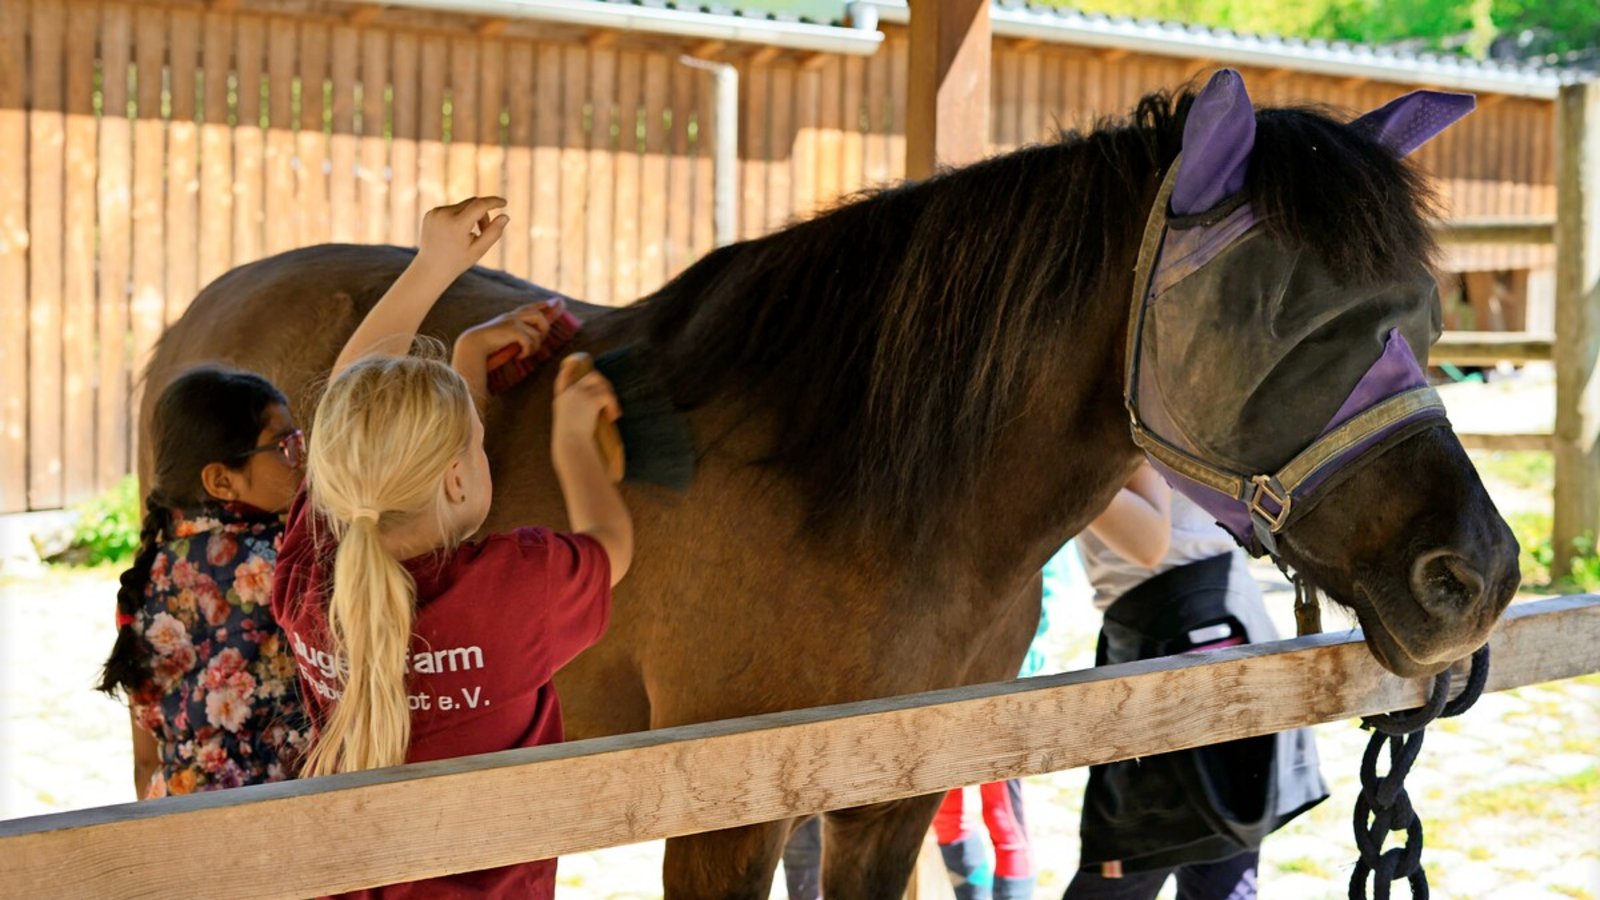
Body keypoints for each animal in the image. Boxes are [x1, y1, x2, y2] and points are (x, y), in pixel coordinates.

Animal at [141, 72, 1518, 897]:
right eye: (1267, 320)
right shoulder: (722, 817)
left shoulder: (889, 796)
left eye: (1419, 308)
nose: (1474, 575)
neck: (865, 494)